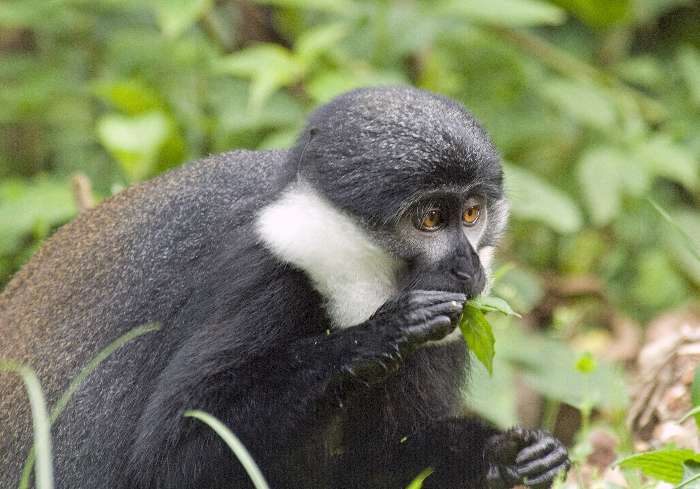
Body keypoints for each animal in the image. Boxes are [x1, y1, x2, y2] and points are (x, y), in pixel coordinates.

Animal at [0, 86, 570, 489]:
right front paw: (380, 335)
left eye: (472, 214)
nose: (468, 268)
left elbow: (380, 461)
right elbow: (170, 460)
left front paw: (507, 455)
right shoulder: (264, 283)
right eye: (430, 219)